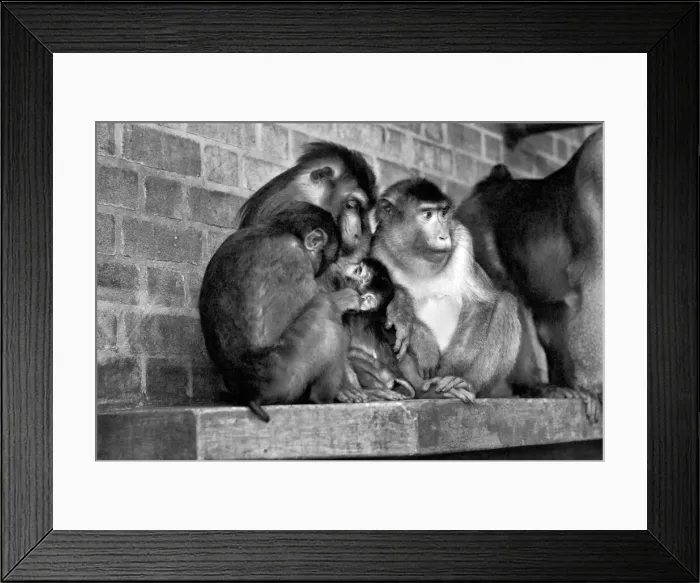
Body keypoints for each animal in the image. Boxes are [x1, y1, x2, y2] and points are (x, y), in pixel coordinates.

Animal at [199, 201, 360, 422]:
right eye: (327, 258)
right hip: (286, 377)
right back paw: (323, 397)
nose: (324, 268)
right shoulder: (295, 256)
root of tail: (250, 394)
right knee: (327, 309)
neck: (279, 230)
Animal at [371, 178, 521, 403]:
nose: (443, 236)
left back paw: (463, 384)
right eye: (427, 215)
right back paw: (425, 391)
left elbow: (480, 303)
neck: (417, 259)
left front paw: (447, 374)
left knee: (506, 304)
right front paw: (414, 330)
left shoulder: (462, 239)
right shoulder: (379, 245)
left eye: (442, 214)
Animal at [455, 128, 603, 422]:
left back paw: (565, 384)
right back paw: (534, 386)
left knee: (551, 314)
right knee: (507, 297)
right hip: (477, 236)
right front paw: (596, 386)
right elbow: (595, 280)